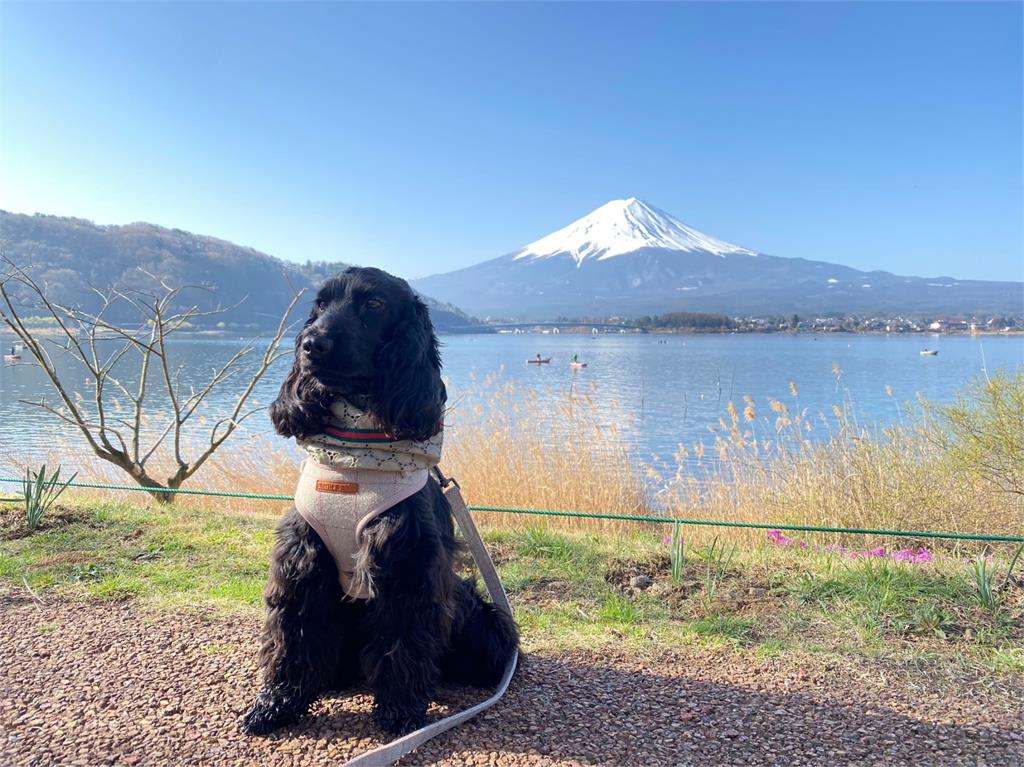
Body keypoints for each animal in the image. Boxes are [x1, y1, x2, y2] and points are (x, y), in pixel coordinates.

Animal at [241, 264, 520, 737]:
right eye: (320, 304)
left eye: (373, 304)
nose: (311, 343)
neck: (357, 454)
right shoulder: (302, 556)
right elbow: (292, 635)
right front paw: (276, 704)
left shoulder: (407, 561)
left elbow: (403, 643)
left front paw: (401, 711)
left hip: (479, 617)